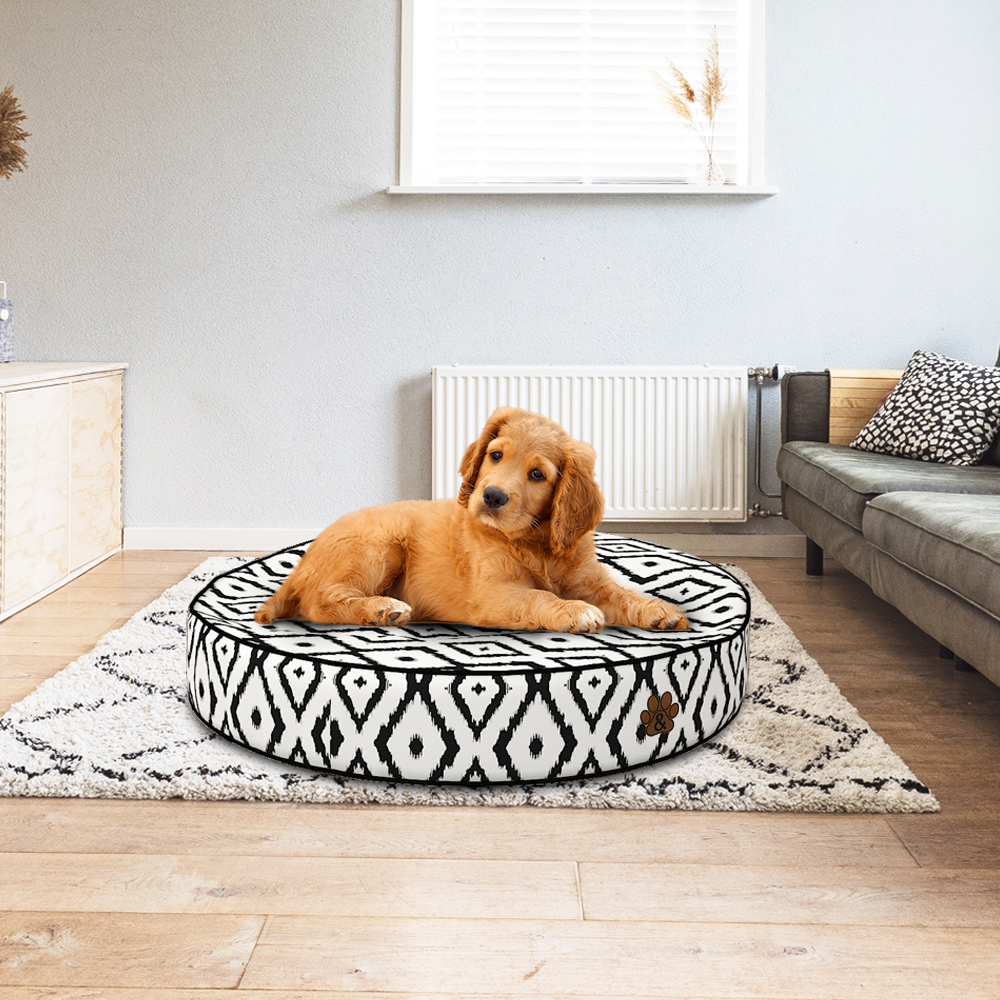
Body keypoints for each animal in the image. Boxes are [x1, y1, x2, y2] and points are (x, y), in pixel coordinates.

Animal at [254, 406, 688, 632]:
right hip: (378, 547)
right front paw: (573, 611)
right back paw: (380, 609)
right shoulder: (492, 592)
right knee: (319, 601)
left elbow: (621, 593)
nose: (492, 496)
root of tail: (302, 563)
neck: (535, 542)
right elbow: (538, 596)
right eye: (495, 455)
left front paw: (659, 610)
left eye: (537, 475)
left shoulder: (588, 580)